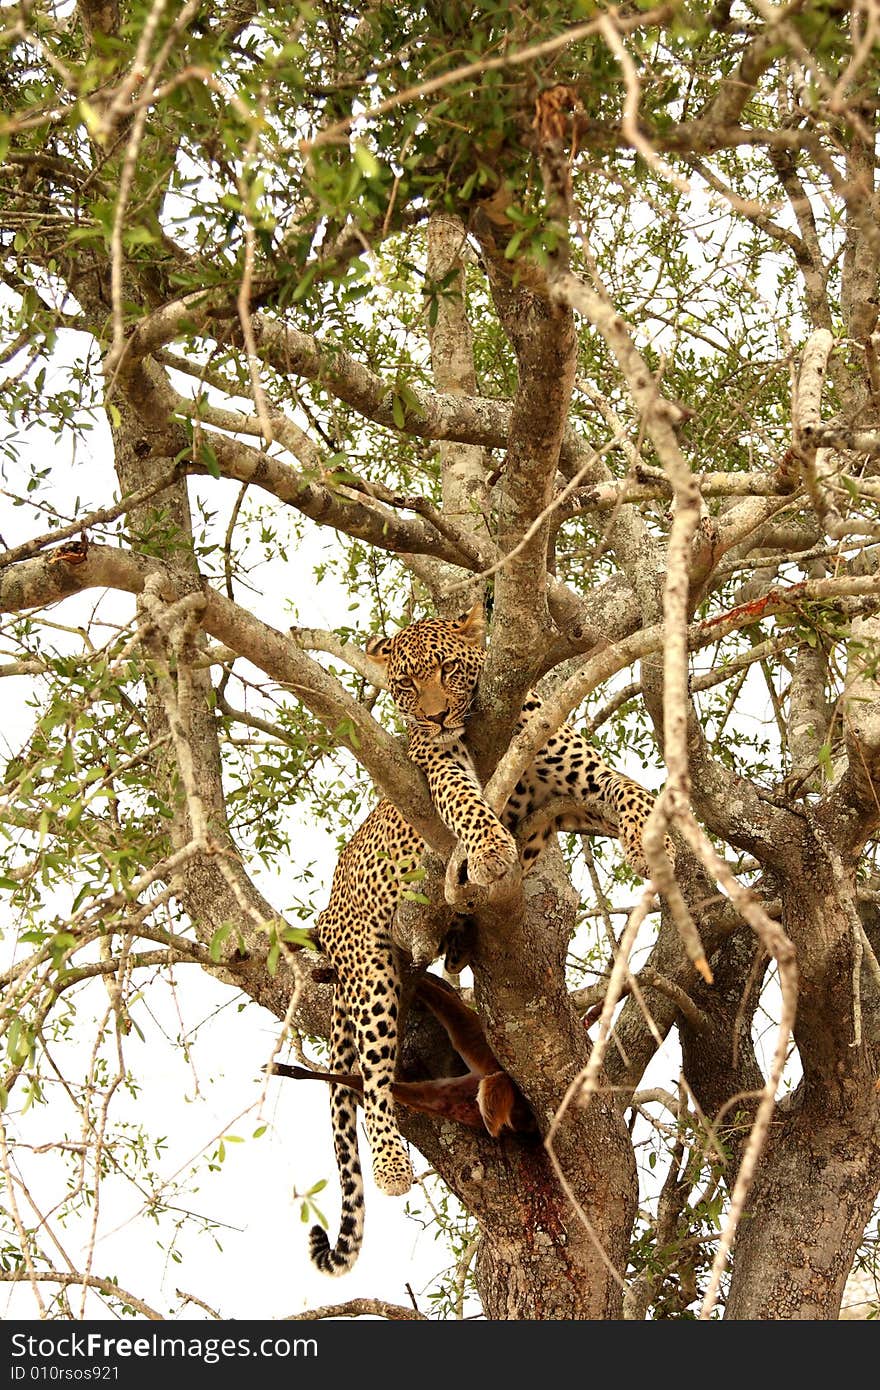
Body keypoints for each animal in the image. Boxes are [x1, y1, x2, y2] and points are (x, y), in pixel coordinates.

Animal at [301, 603, 658, 1273]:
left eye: (447, 668)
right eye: (405, 685)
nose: (437, 716)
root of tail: (329, 918)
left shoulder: (571, 783)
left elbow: (625, 786)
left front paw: (652, 834)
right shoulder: (439, 763)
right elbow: (466, 799)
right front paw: (490, 846)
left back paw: (460, 938)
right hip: (369, 972)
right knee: (373, 1076)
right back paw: (391, 1163)